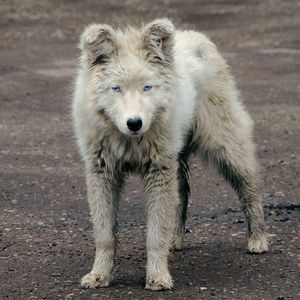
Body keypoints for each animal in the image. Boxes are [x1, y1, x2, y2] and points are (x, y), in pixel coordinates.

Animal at [71, 18, 268, 290]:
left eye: (147, 87)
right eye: (116, 88)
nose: (135, 123)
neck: (130, 141)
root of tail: (197, 36)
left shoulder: (158, 172)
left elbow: (155, 233)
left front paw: (157, 277)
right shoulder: (102, 172)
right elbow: (104, 234)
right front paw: (99, 275)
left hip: (225, 142)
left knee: (249, 186)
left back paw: (258, 239)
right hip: (177, 154)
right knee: (182, 194)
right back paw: (176, 240)